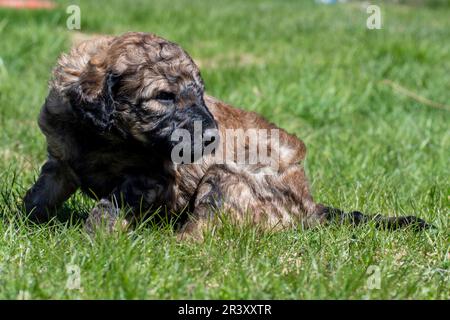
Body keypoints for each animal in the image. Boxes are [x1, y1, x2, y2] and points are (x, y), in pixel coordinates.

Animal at [23, 31, 428, 238]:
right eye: (163, 96)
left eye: (200, 93)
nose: (210, 138)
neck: (102, 136)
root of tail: (311, 206)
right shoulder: (60, 161)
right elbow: (39, 195)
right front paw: (24, 222)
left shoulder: (151, 177)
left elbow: (109, 204)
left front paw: (93, 237)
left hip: (229, 179)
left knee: (199, 234)